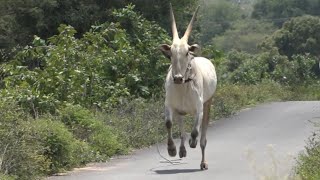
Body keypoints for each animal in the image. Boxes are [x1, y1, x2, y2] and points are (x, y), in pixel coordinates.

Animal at [159, 4, 218, 170]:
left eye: (186, 53)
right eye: (171, 53)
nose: (178, 78)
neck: (183, 85)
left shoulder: (199, 107)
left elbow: (196, 130)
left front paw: (193, 142)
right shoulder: (169, 105)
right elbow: (169, 123)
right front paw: (172, 149)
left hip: (208, 102)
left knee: (203, 136)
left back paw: (202, 161)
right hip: (180, 110)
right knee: (181, 128)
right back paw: (182, 150)